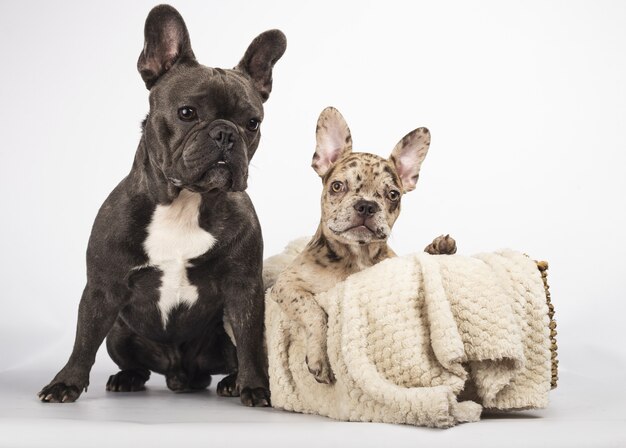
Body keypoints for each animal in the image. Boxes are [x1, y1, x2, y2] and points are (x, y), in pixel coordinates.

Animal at [40, 5, 288, 408]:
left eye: (253, 123)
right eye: (187, 113)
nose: (225, 133)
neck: (185, 201)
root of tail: (179, 374)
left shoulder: (243, 289)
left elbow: (251, 342)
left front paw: (255, 387)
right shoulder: (102, 289)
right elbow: (83, 341)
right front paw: (65, 383)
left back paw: (230, 382)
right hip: (120, 334)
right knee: (132, 361)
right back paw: (126, 378)